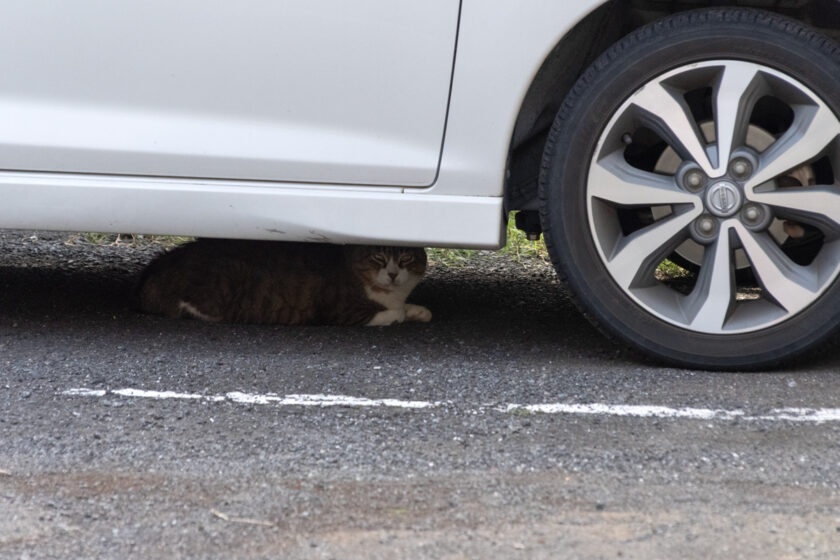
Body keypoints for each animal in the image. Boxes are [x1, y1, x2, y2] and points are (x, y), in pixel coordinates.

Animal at [136, 238, 434, 326]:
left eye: (406, 258)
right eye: (378, 257)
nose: (393, 273)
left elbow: (406, 306)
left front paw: (420, 311)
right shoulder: (344, 312)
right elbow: (393, 313)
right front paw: (402, 313)